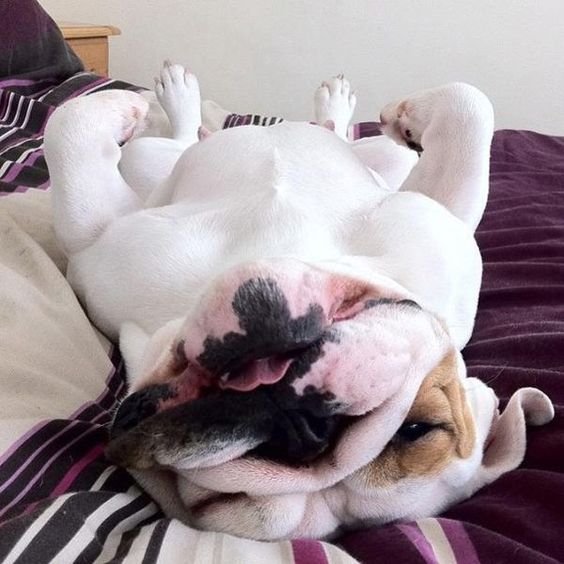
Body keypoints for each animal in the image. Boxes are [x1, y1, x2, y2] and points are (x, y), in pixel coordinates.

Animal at [43, 62, 552, 540]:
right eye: (419, 428)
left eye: (216, 503)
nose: (306, 431)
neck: (281, 247)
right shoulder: (97, 243)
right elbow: (470, 108)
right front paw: (404, 115)